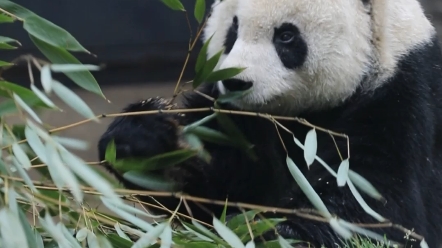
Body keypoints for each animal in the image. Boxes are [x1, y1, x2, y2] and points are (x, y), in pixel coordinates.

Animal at [98, 0, 442, 246]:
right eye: (233, 30)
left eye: (286, 35)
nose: (236, 82)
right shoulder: (237, 118)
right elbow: (214, 188)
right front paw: (143, 138)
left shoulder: (400, 100)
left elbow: (376, 210)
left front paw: (274, 233)